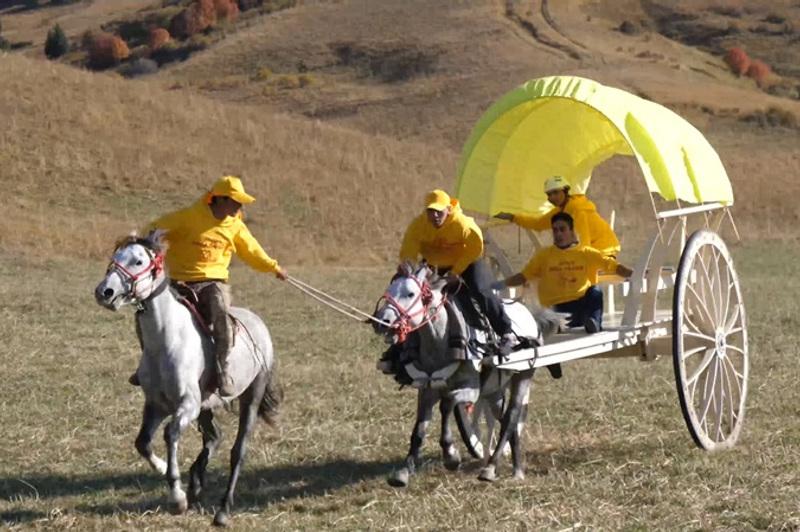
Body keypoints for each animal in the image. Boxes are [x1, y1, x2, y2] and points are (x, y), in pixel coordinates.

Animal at [94, 231, 282, 524]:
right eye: (115, 257)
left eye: (138, 261)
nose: (105, 292)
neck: (166, 340)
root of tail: (259, 324)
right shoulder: (156, 405)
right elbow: (142, 442)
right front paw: (165, 470)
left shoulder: (187, 405)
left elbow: (170, 434)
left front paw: (177, 498)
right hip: (206, 406)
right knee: (214, 437)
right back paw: (196, 484)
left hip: (251, 395)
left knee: (238, 451)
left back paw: (222, 510)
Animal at [374, 264, 556, 484]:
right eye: (390, 290)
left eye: (411, 293)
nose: (381, 322)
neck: (442, 340)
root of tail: (528, 315)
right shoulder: (427, 390)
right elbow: (419, 429)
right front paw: (404, 470)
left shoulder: (471, 390)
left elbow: (447, 405)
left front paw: (451, 455)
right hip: (494, 390)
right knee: (503, 419)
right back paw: (517, 468)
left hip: (523, 376)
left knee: (511, 418)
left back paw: (491, 468)